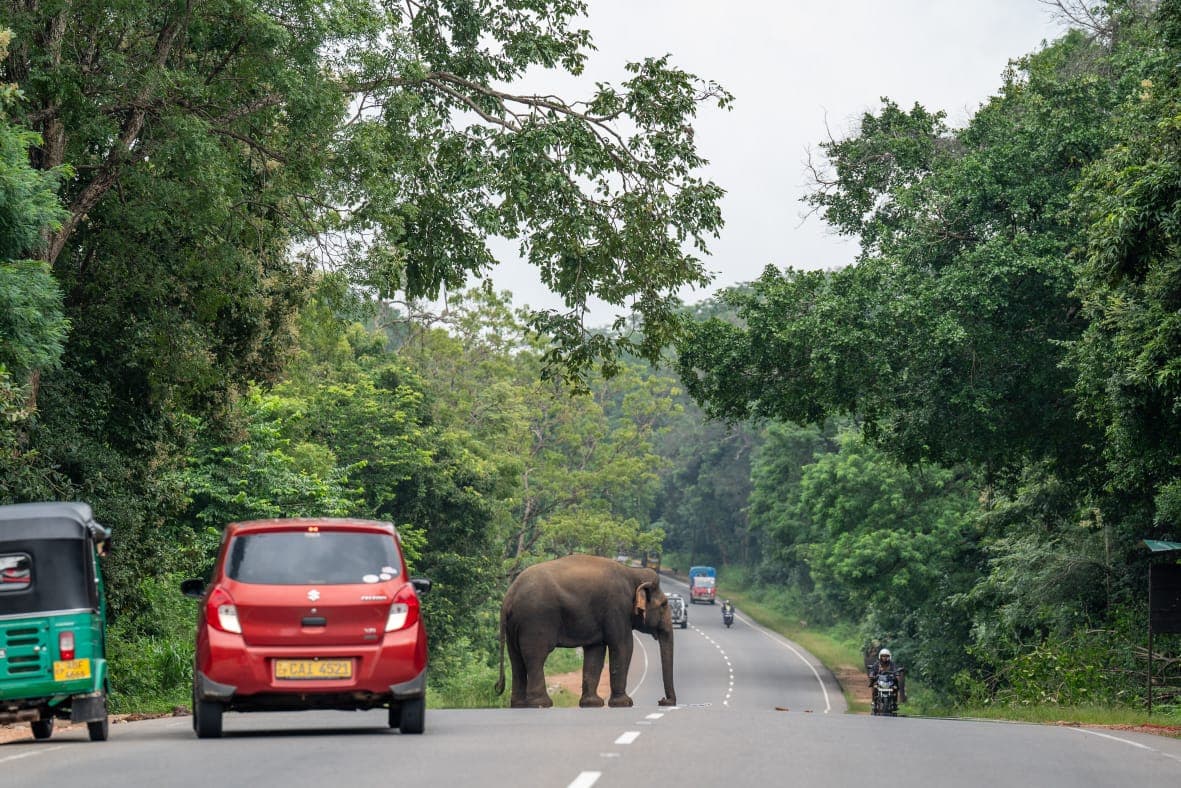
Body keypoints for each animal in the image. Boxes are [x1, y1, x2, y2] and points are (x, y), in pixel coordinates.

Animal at [494, 554, 677, 708]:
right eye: (664, 604)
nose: (662, 700)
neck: (633, 573)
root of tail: (508, 597)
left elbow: (595, 651)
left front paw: (592, 704)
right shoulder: (617, 609)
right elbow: (623, 646)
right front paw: (624, 703)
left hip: (514, 627)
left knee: (516, 659)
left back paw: (519, 705)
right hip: (535, 620)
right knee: (536, 657)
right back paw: (542, 704)